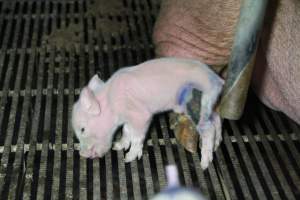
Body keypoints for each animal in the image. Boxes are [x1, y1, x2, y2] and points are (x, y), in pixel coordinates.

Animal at [71, 57, 224, 169]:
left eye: (82, 129)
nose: (82, 154)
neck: (112, 101)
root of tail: (217, 81)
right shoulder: (128, 118)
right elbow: (127, 130)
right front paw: (117, 146)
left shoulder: (142, 115)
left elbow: (137, 136)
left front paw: (128, 158)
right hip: (210, 105)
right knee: (217, 119)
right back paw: (217, 145)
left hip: (196, 104)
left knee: (208, 129)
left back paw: (204, 164)